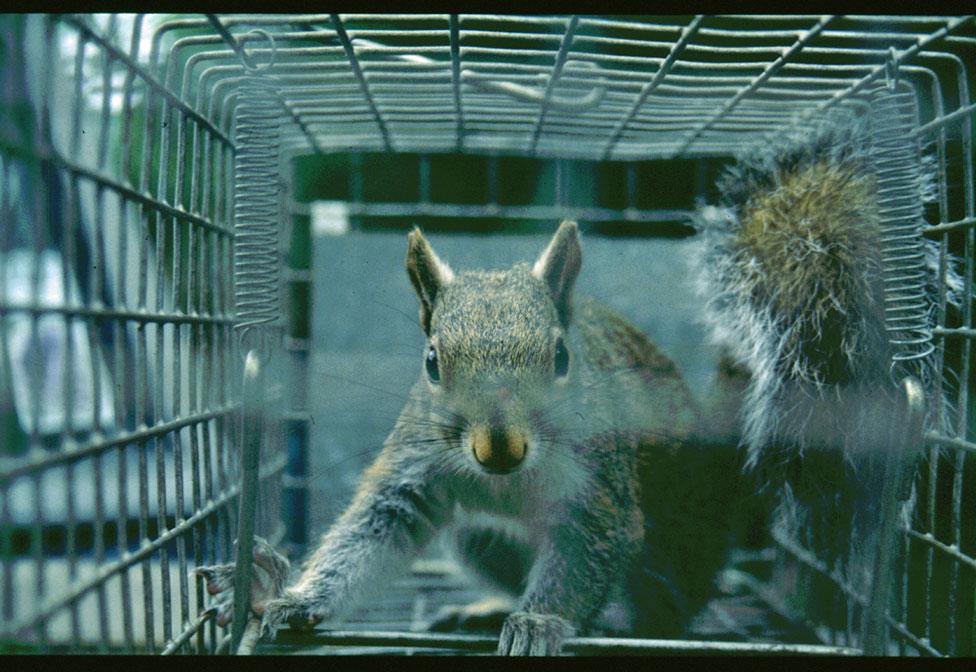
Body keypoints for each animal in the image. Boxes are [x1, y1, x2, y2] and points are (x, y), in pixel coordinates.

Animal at [202, 222, 744, 656]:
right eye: (432, 361)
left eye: (562, 357)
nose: (499, 447)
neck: (508, 479)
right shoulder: (412, 472)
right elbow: (369, 536)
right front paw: (296, 598)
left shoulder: (598, 490)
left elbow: (584, 557)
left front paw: (538, 622)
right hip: (479, 538)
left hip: (679, 548)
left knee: (666, 609)